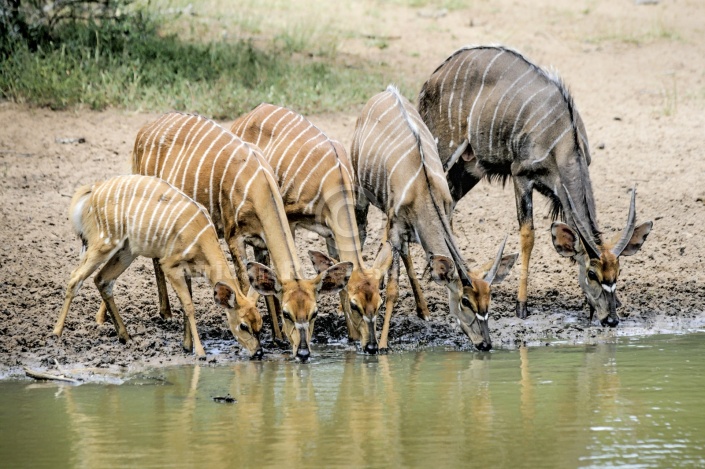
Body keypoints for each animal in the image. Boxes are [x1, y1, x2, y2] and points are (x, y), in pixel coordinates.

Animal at [52, 174, 262, 356]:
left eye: (259, 325)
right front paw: (200, 352)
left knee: (102, 279)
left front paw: (187, 346)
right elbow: (189, 306)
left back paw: (126, 337)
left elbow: (187, 304)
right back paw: (56, 333)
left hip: (126, 251)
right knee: (76, 277)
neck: (200, 238)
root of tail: (93, 192)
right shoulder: (169, 264)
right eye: (243, 325)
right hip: (104, 242)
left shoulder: (186, 271)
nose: (258, 352)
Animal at [126, 111, 352, 360]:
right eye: (287, 314)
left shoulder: (261, 243)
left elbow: (266, 289)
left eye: (314, 313)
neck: (259, 186)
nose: (302, 352)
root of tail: (144, 131)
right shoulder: (234, 237)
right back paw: (166, 315)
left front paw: (278, 338)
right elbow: (244, 286)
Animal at [231, 104, 388, 352]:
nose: (372, 347)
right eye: (356, 306)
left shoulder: (332, 233)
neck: (333, 180)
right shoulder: (289, 217)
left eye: (379, 303)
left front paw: (352, 338)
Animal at [350, 87, 516, 352]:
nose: (485, 344)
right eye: (465, 301)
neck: (422, 187)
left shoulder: (434, 219)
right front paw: (383, 344)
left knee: (404, 252)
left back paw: (423, 310)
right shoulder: (396, 229)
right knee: (362, 232)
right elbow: (394, 289)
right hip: (360, 192)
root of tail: (387, 91)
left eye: (488, 299)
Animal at [416, 46, 652, 326]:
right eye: (592, 274)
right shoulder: (521, 176)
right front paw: (521, 305)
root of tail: (434, 76)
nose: (611, 320)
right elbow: (528, 235)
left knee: (448, 207)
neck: (561, 139)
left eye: (618, 271)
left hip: (470, 167)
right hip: (440, 153)